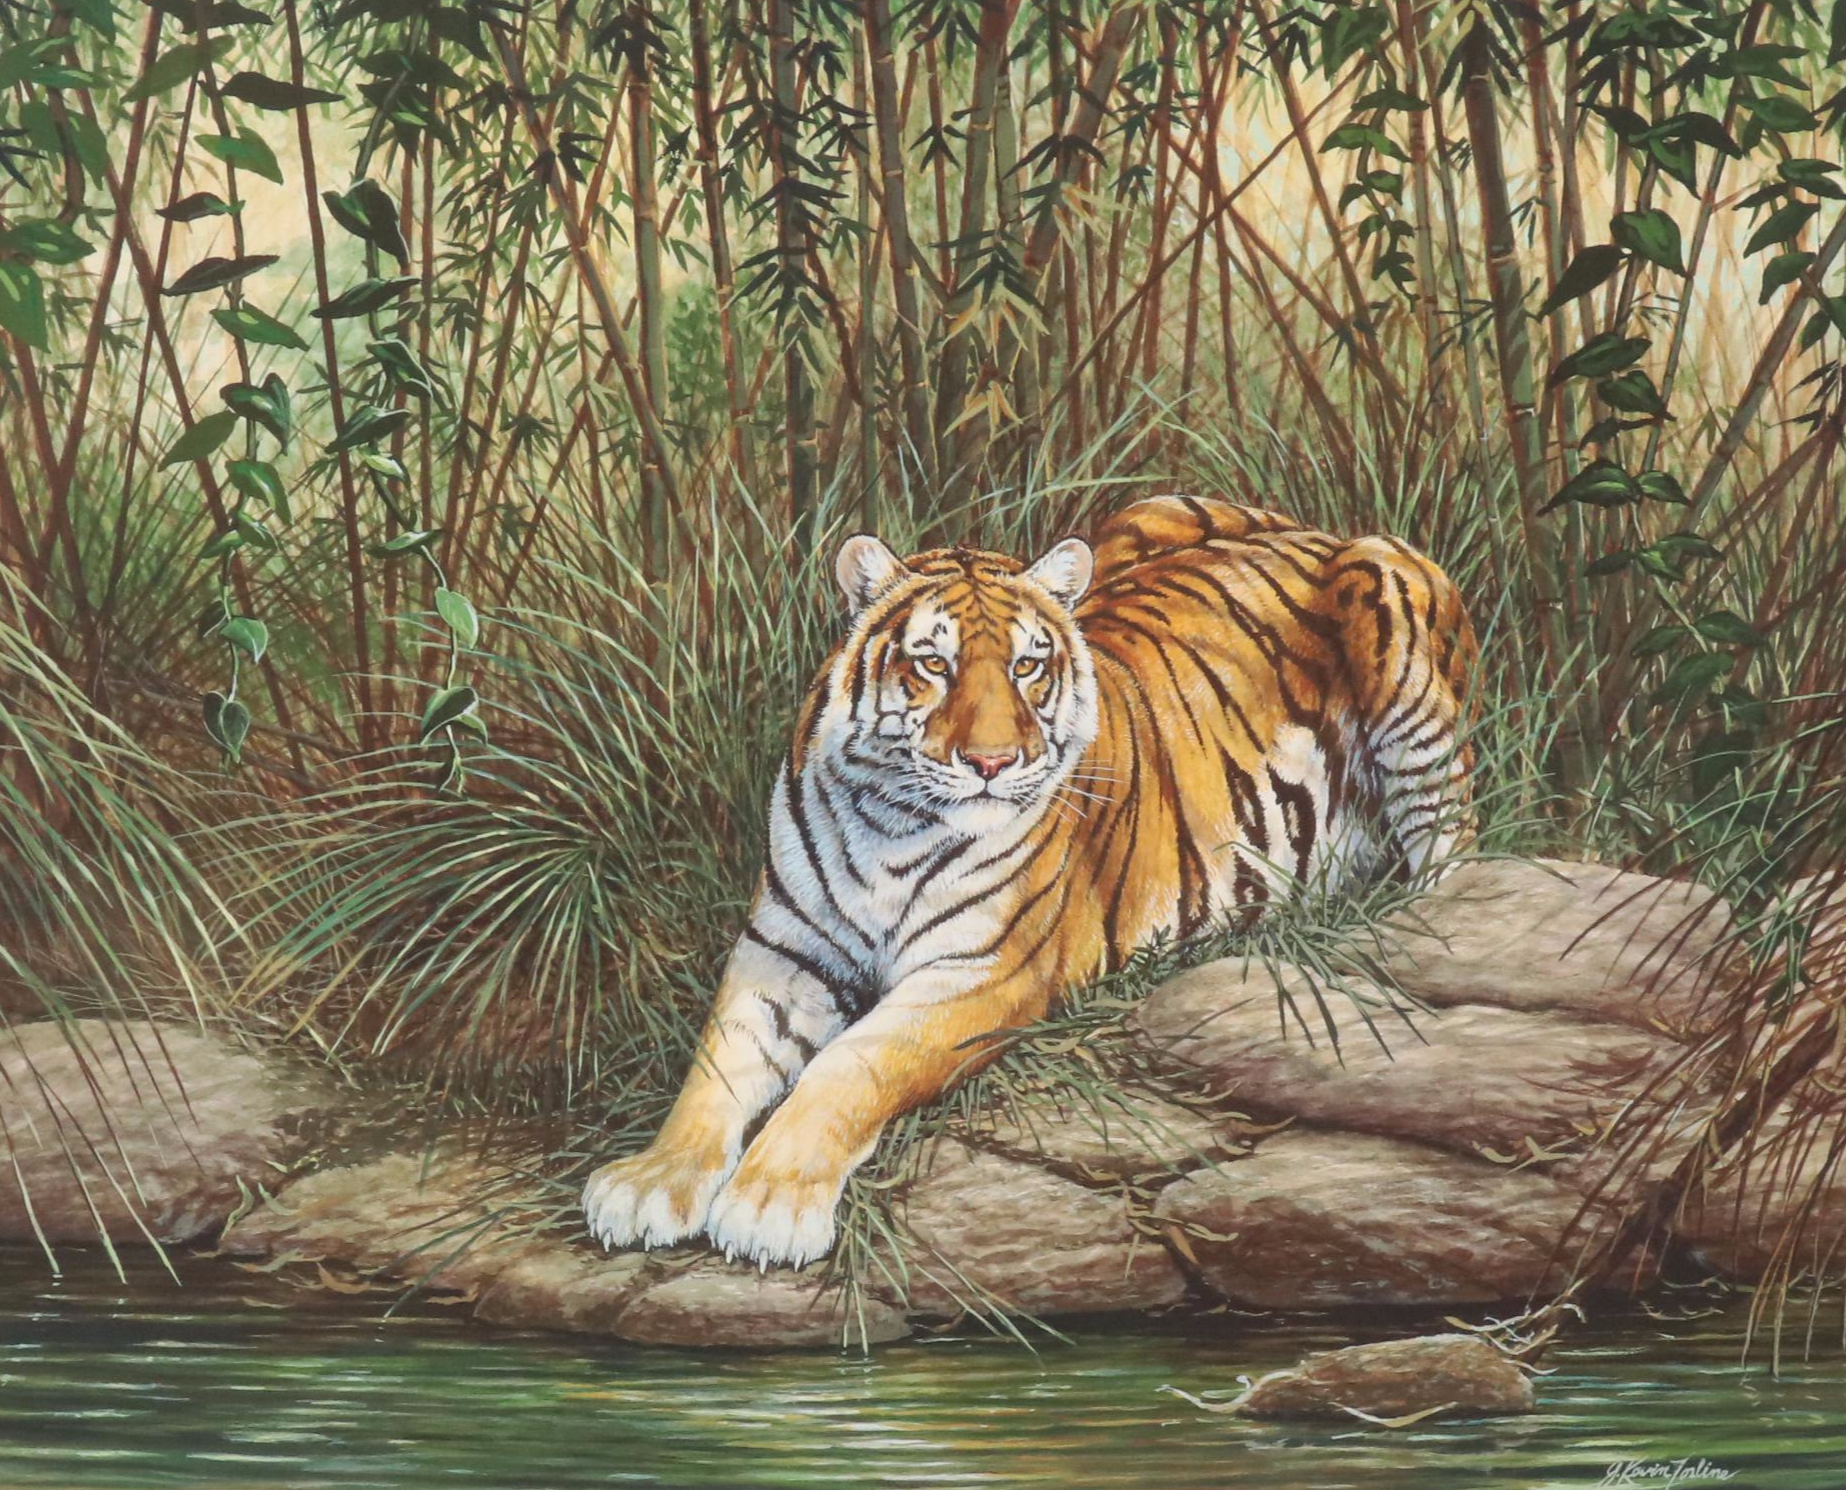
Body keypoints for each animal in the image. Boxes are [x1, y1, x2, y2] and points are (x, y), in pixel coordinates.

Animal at [582, 495, 1478, 1268]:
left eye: (1026, 667)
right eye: (932, 664)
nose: (991, 763)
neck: (889, 820)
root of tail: (1313, 529)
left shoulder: (980, 973)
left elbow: (849, 1067)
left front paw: (768, 1204)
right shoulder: (782, 954)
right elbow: (714, 1067)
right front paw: (650, 1183)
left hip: (1389, 609)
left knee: (1450, 854)